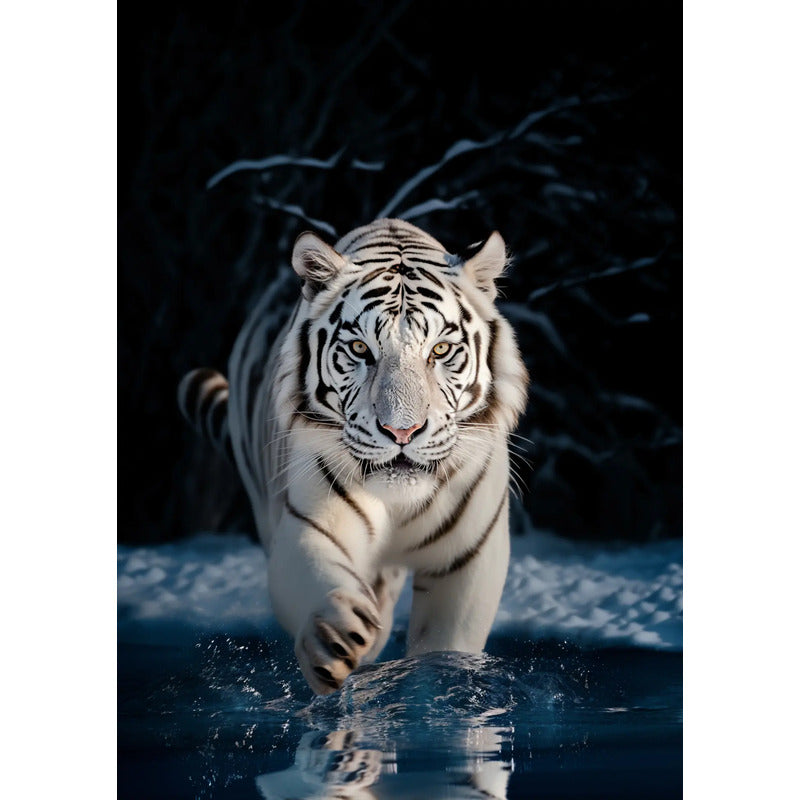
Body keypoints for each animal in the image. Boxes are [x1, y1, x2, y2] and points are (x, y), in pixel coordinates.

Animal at [178, 218, 529, 695]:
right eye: (361, 350)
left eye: (440, 350)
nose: (402, 431)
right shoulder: (309, 525)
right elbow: (319, 584)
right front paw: (335, 636)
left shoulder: (469, 556)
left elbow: (444, 645)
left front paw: (441, 683)